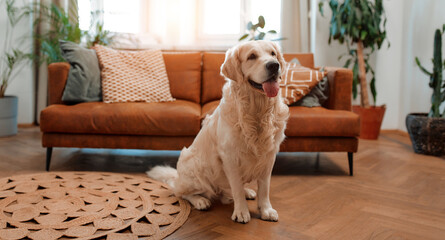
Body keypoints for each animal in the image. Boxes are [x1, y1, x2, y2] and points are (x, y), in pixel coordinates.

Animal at [147, 39, 290, 223]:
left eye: (273, 54)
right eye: (252, 56)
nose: (274, 65)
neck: (256, 111)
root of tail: (178, 177)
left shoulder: (269, 155)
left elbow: (264, 188)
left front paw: (266, 210)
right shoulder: (230, 157)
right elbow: (236, 187)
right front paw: (241, 212)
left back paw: (247, 192)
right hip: (195, 167)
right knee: (180, 192)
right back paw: (200, 200)